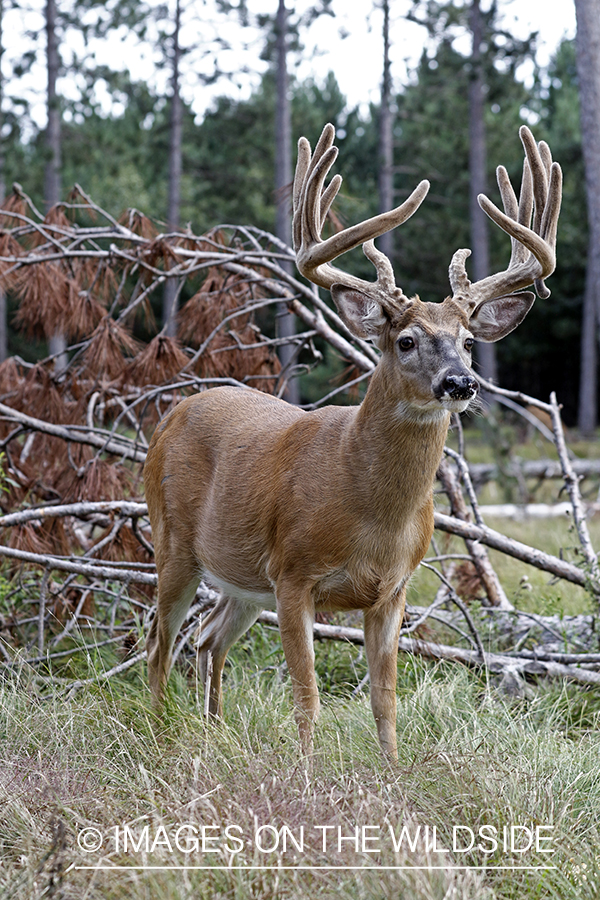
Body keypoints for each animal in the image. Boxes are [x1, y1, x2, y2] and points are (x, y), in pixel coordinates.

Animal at [145, 125, 564, 760]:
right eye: (407, 340)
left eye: (468, 341)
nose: (460, 383)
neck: (369, 511)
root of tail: (174, 412)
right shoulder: (293, 573)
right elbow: (308, 695)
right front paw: (305, 770)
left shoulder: (393, 589)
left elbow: (385, 701)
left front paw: (392, 772)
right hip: (172, 542)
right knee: (159, 641)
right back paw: (156, 732)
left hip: (243, 581)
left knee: (208, 637)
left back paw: (213, 733)